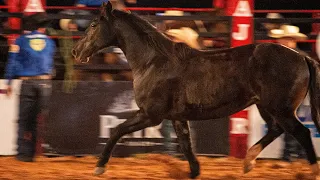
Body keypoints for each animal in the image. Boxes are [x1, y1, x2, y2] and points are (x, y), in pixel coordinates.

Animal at [72, 1, 320, 179]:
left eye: (93, 25)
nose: (75, 51)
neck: (153, 61)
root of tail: (302, 56)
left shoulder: (151, 115)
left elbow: (116, 131)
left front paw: (99, 167)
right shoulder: (177, 117)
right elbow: (186, 147)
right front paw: (194, 172)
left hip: (280, 109)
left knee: (302, 133)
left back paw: (310, 171)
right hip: (266, 107)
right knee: (277, 130)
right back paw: (248, 162)